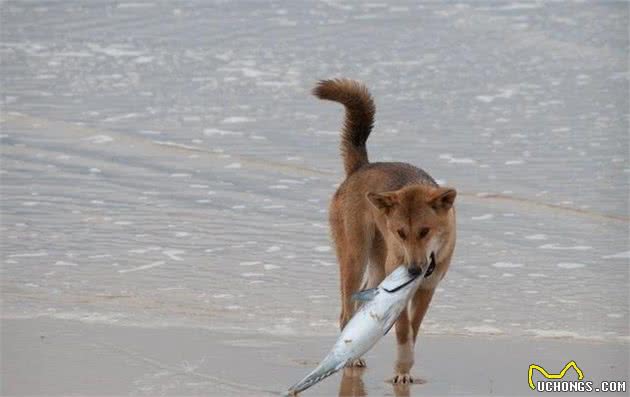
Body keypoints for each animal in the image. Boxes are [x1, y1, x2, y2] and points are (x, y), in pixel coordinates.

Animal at [316, 78, 460, 384]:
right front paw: (402, 370)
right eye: (400, 232)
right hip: (355, 258)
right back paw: (352, 358)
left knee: (359, 304)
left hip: (378, 267)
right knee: (346, 312)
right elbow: (404, 331)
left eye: (425, 231)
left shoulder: (427, 289)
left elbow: (413, 330)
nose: (414, 269)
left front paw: (405, 368)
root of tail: (361, 167)